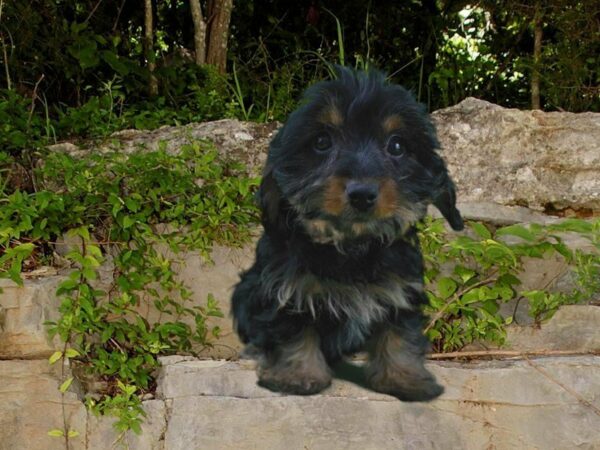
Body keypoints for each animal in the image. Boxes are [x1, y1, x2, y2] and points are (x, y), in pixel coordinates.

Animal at [232, 67, 462, 400]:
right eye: (321, 142)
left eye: (397, 145)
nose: (362, 194)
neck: (351, 245)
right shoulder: (286, 291)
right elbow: (293, 333)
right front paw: (297, 376)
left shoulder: (401, 291)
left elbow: (399, 336)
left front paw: (405, 378)